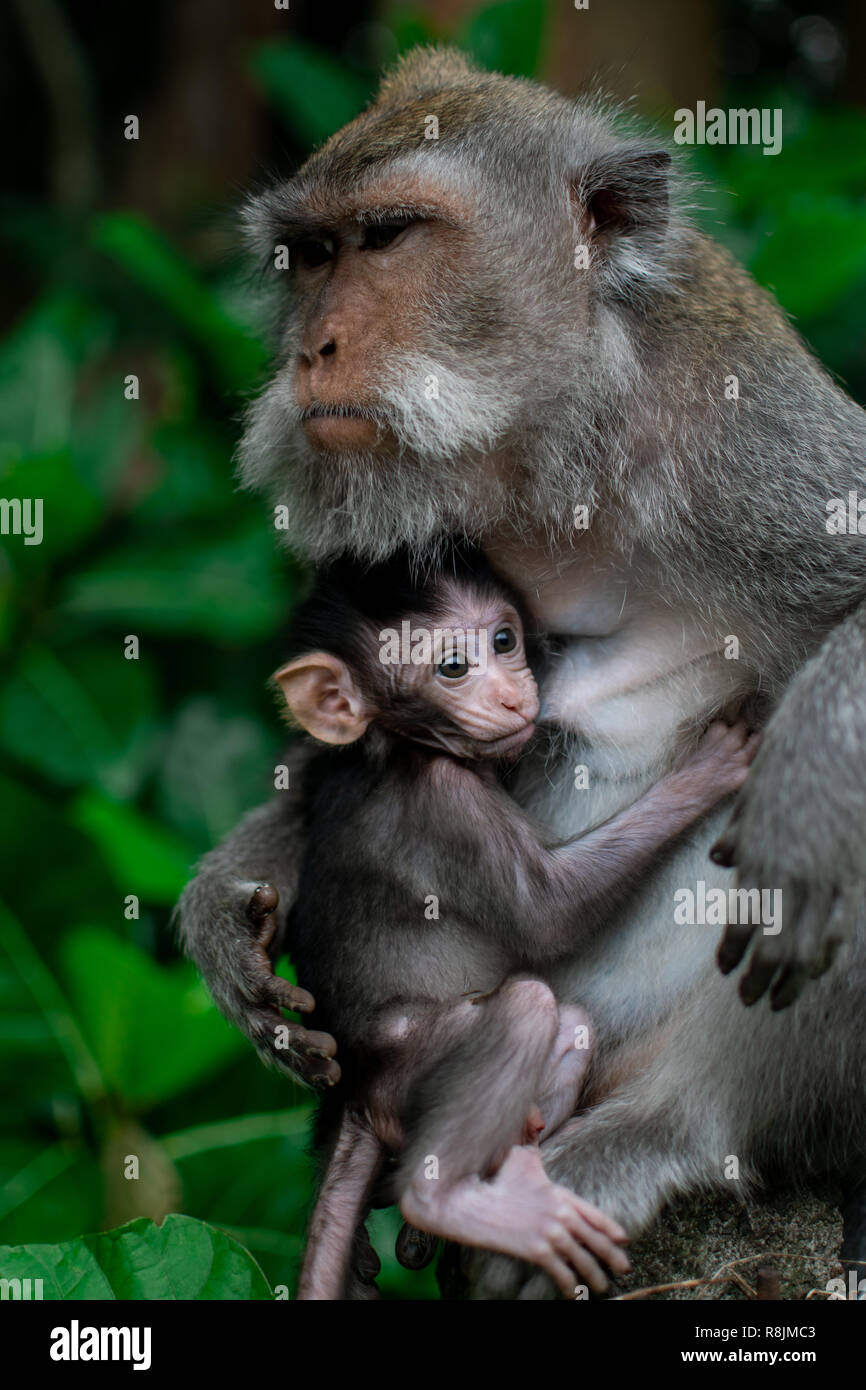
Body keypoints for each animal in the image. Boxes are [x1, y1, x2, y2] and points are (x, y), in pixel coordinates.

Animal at [279, 547, 756, 1295]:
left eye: (503, 640)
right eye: (452, 667)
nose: (511, 693)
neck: (398, 746)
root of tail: (358, 1088)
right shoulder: (446, 801)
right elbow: (548, 913)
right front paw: (711, 767)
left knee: (573, 1021)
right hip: (412, 1064)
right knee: (529, 1006)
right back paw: (446, 1201)